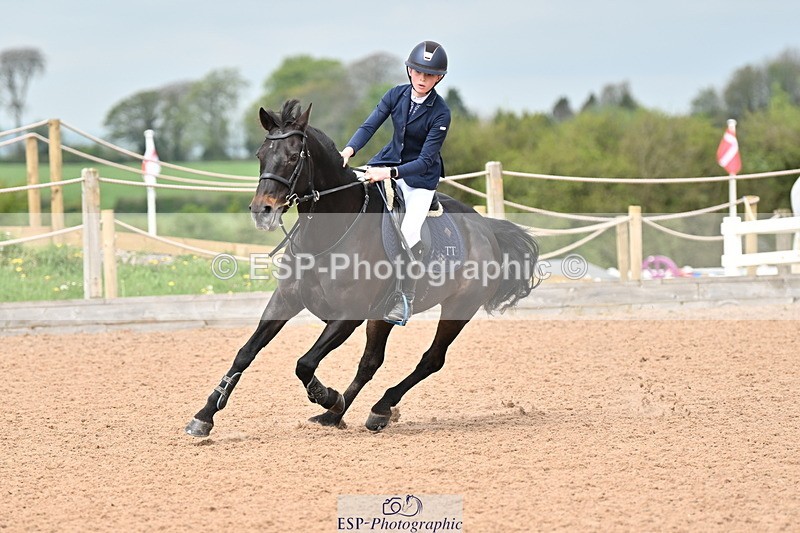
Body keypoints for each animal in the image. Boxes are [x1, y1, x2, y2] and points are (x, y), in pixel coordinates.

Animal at [185, 100, 540, 437]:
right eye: (261, 155)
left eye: (293, 156)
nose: (262, 211)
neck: (328, 233)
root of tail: (485, 228)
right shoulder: (285, 300)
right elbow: (246, 352)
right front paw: (204, 416)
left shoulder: (348, 316)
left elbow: (304, 363)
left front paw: (327, 395)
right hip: (382, 317)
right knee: (371, 363)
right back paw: (337, 416)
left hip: (458, 308)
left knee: (431, 359)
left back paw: (375, 408)